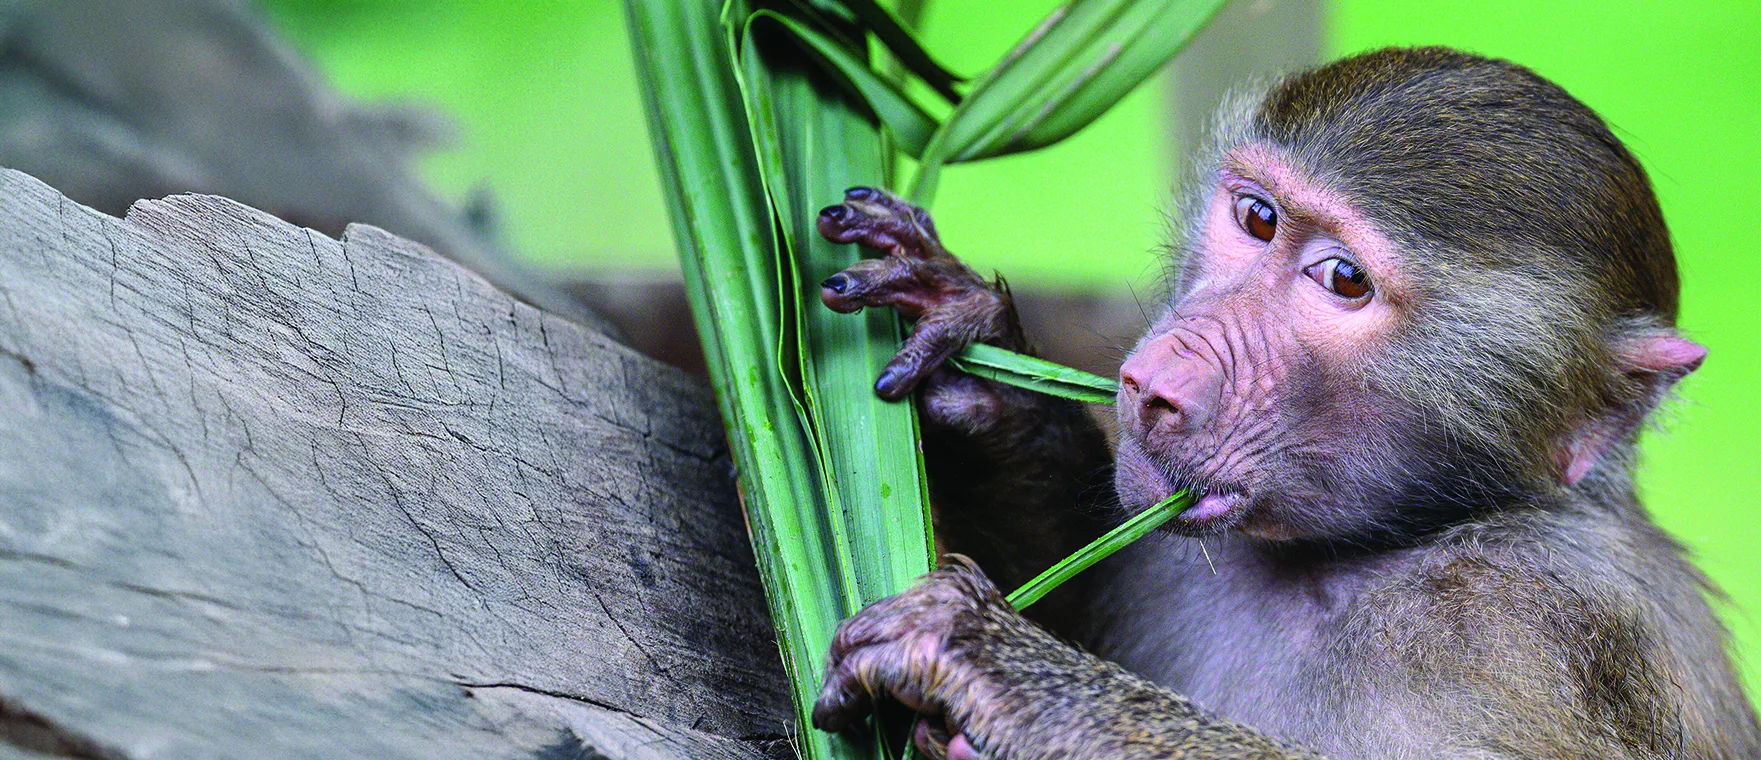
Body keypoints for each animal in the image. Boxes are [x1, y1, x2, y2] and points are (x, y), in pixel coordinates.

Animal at [804, 47, 1761, 759]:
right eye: (1257, 218)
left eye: (1342, 280)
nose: (1154, 383)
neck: (1371, 552)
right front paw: (980, 369)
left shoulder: (1529, 624)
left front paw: (994, 667)